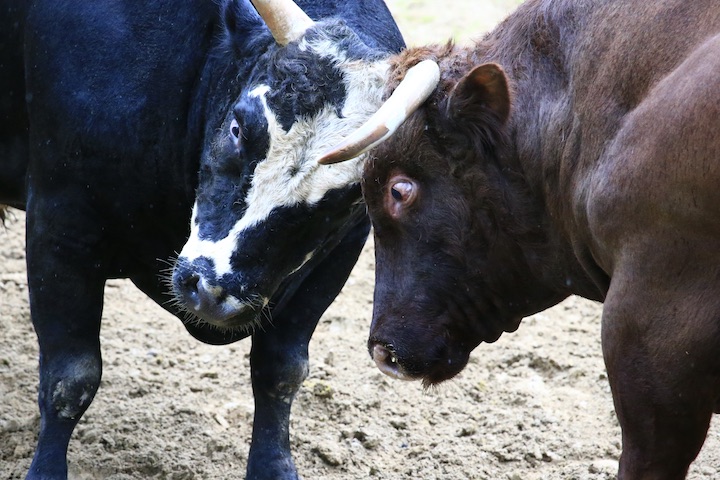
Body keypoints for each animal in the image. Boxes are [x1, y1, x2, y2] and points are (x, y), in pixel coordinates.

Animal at [0, 1, 404, 478]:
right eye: (238, 126)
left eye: (351, 193)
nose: (212, 292)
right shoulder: (59, 223)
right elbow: (71, 375)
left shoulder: (339, 256)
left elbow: (281, 371)